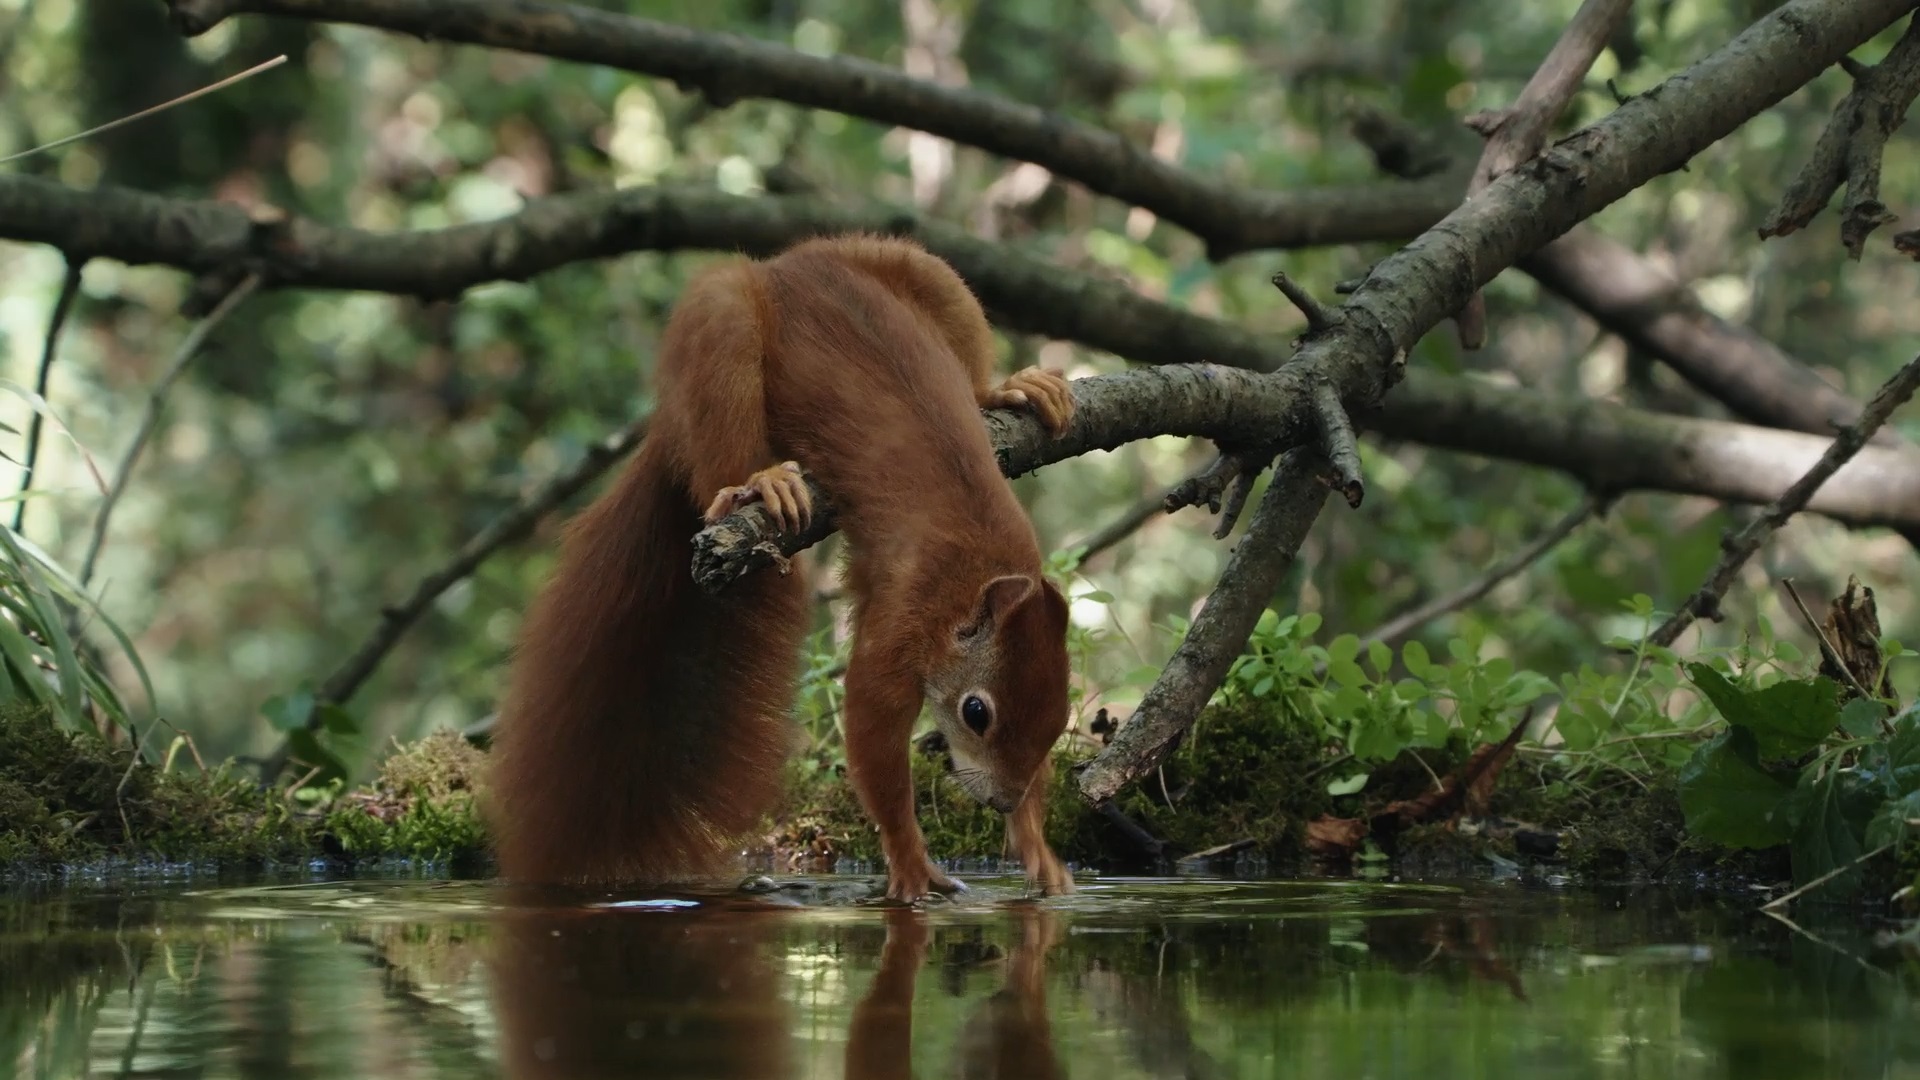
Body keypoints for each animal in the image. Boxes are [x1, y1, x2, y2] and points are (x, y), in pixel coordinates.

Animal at [487, 235, 1082, 899]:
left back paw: (1006, 390)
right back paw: (762, 482)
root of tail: (779, 268)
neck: (979, 560)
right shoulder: (906, 615)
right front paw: (910, 862)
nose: (1005, 801)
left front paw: (1036, 848)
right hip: (721, 328)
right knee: (722, 438)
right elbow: (872, 726)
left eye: (1060, 716)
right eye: (976, 713)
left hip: (920, 270)